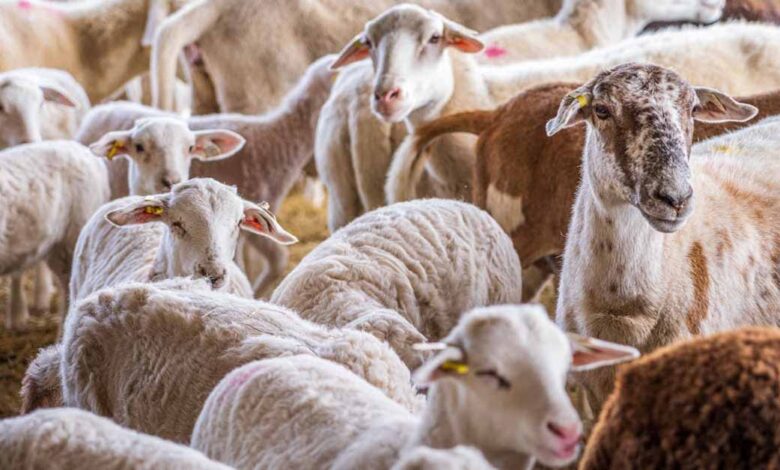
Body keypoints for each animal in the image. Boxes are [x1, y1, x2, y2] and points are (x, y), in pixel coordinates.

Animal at [76, 55, 335, 295]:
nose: (213, 274)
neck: (279, 136)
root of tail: (102, 108)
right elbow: (278, 259)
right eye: (176, 224)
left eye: (238, 222)